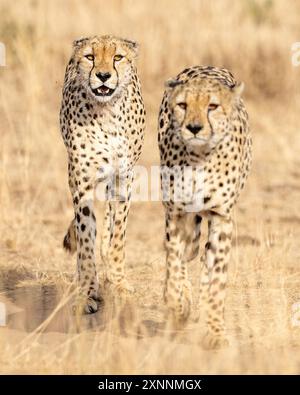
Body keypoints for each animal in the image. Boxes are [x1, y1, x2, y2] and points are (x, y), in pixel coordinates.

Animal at [59, 36, 145, 316]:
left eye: (117, 57)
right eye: (90, 57)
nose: (104, 76)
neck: (106, 113)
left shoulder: (124, 178)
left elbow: (118, 232)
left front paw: (117, 280)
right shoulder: (81, 182)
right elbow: (86, 237)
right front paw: (88, 291)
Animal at [158, 65, 252, 350]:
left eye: (212, 106)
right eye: (183, 105)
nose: (194, 127)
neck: (200, 156)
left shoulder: (222, 217)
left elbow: (217, 280)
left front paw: (216, 332)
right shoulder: (176, 214)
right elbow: (174, 262)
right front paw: (177, 304)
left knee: (203, 259)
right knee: (187, 254)